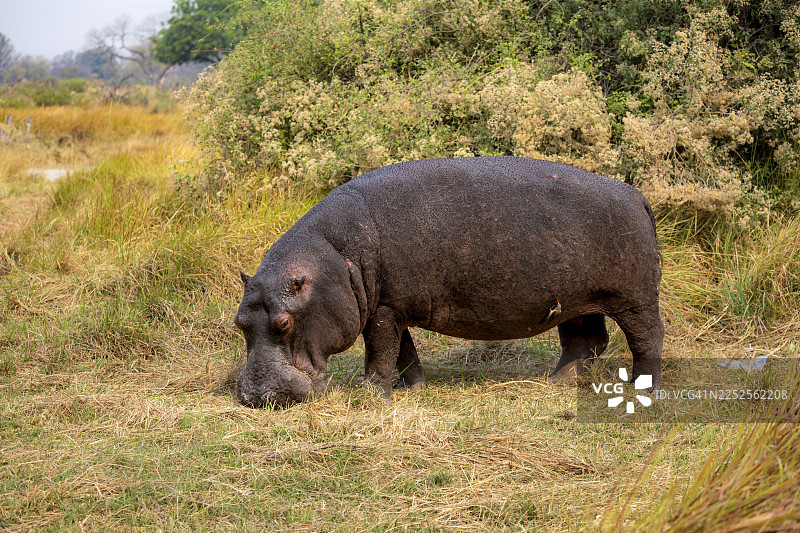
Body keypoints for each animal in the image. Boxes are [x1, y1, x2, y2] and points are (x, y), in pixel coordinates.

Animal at [235, 156, 663, 408]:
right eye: (239, 323)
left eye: (284, 323)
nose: (255, 396)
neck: (334, 259)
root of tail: (637, 195)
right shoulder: (389, 306)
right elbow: (403, 352)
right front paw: (413, 389)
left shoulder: (384, 309)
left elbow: (381, 352)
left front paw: (370, 395)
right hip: (576, 300)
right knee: (586, 340)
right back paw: (558, 381)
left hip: (635, 299)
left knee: (647, 338)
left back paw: (643, 388)